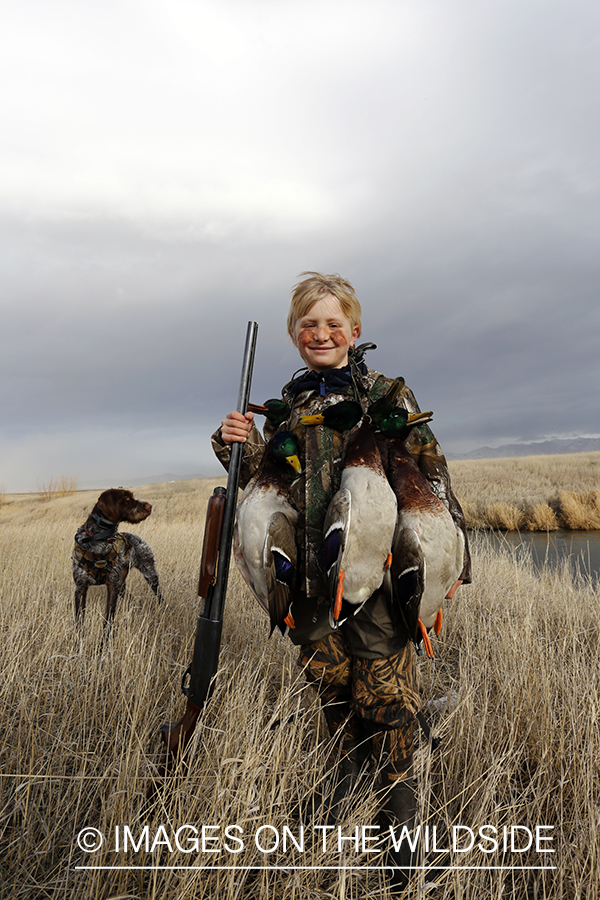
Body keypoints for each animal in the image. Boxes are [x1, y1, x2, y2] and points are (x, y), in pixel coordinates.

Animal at [71, 488, 163, 624]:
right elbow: (79, 619)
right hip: (121, 585)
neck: (99, 539)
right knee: (131, 598)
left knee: (159, 595)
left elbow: (109, 617)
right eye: (126, 499)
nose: (149, 506)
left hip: (149, 574)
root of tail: (138, 538)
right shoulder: (81, 586)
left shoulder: (112, 585)